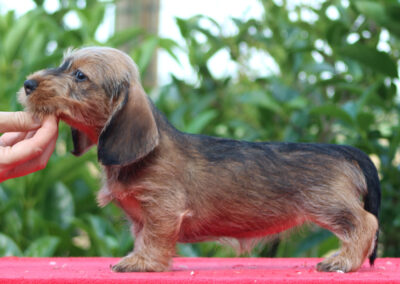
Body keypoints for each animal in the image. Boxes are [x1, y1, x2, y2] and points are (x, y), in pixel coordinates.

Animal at [19, 46, 382, 272]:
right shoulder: (141, 218)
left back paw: (343, 261)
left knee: (366, 223)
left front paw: (143, 263)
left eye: (80, 76)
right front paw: (142, 257)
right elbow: (142, 237)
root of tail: (344, 151)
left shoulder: (162, 208)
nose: (27, 83)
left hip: (329, 205)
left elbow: (155, 237)